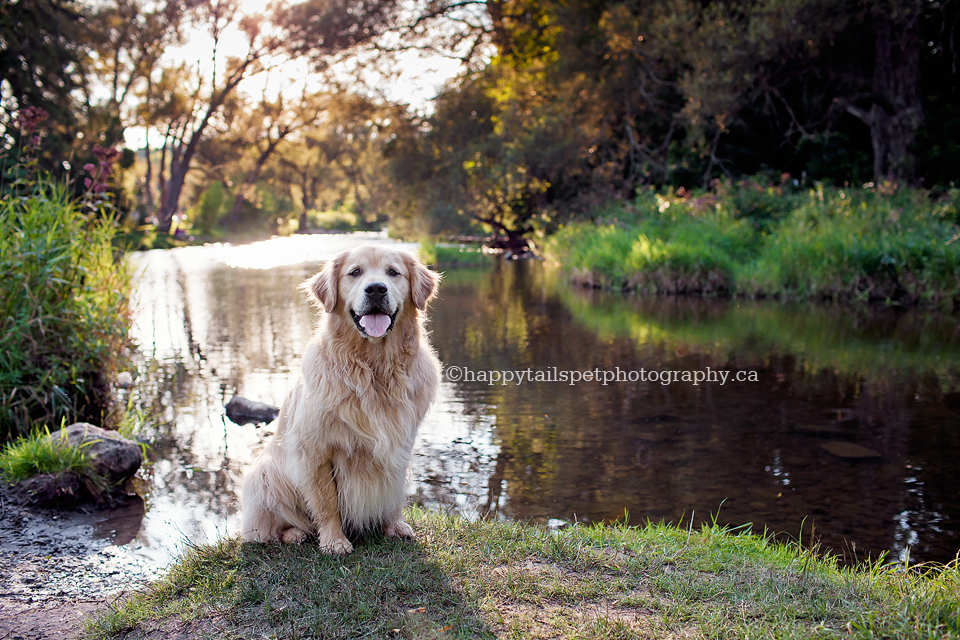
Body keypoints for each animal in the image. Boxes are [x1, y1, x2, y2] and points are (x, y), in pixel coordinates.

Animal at [244, 242, 446, 552]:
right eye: (355, 272)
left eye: (393, 272)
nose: (376, 289)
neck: (374, 368)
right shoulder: (314, 450)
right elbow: (326, 503)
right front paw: (334, 541)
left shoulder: (400, 442)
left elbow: (394, 488)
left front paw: (394, 525)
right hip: (263, 473)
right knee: (269, 528)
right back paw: (294, 533)